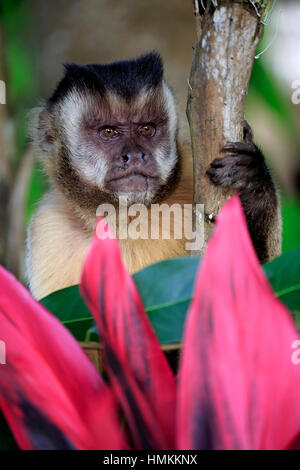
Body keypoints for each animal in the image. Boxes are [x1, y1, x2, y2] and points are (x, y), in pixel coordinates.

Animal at [25, 53, 282, 300]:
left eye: (146, 129)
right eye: (109, 132)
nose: (134, 155)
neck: (126, 218)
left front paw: (252, 182)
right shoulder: (47, 230)